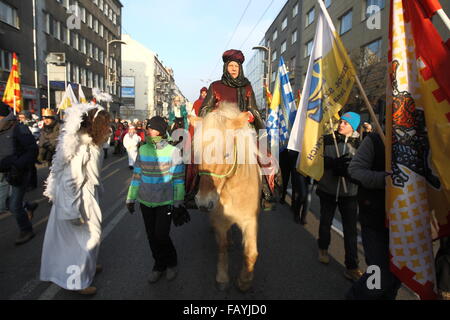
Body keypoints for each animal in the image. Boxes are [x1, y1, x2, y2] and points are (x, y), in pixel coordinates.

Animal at [191, 102, 262, 292]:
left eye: (227, 155)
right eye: (197, 155)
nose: (203, 203)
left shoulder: (250, 220)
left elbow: (251, 253)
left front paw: (244, 281)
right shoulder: (220, 220)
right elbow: (221, 247)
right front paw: (222, 277)